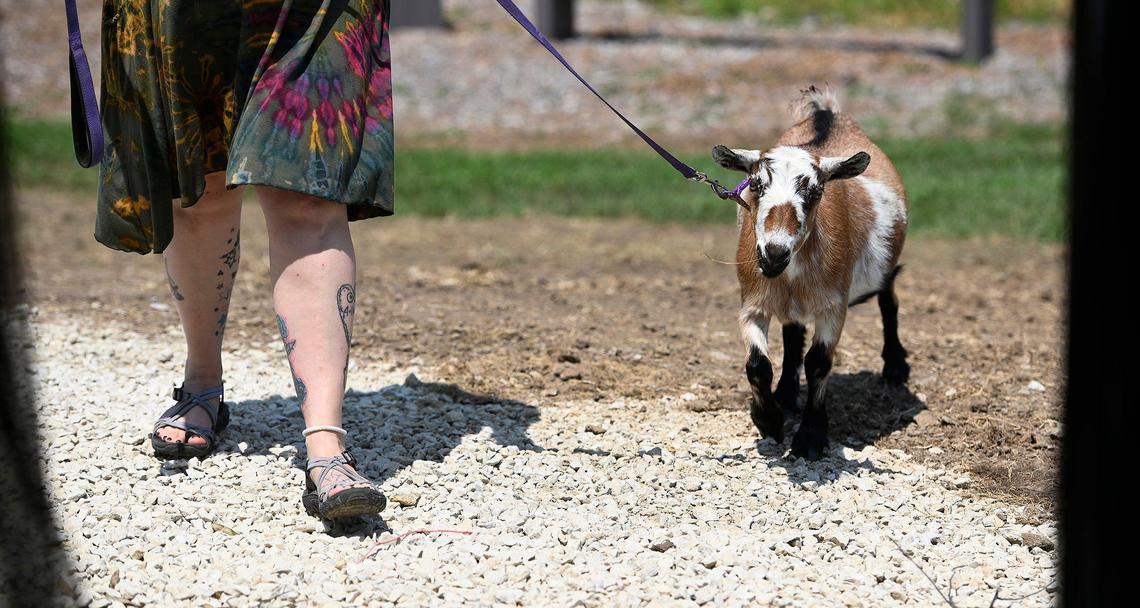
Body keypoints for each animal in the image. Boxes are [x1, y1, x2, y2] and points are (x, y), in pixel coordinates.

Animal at [712, 86, 910, 460]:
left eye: (816, 191)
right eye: (756, 185)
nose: (774, 253)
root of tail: (827, 114)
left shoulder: (833, 305)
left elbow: (818, 362)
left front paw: (810, 438)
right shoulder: (753, 302)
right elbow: (757, 364)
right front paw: (769, 420)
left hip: (885, 270)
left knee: (889, 302)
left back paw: (894, 367)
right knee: (792, 335)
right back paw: (787, 394)